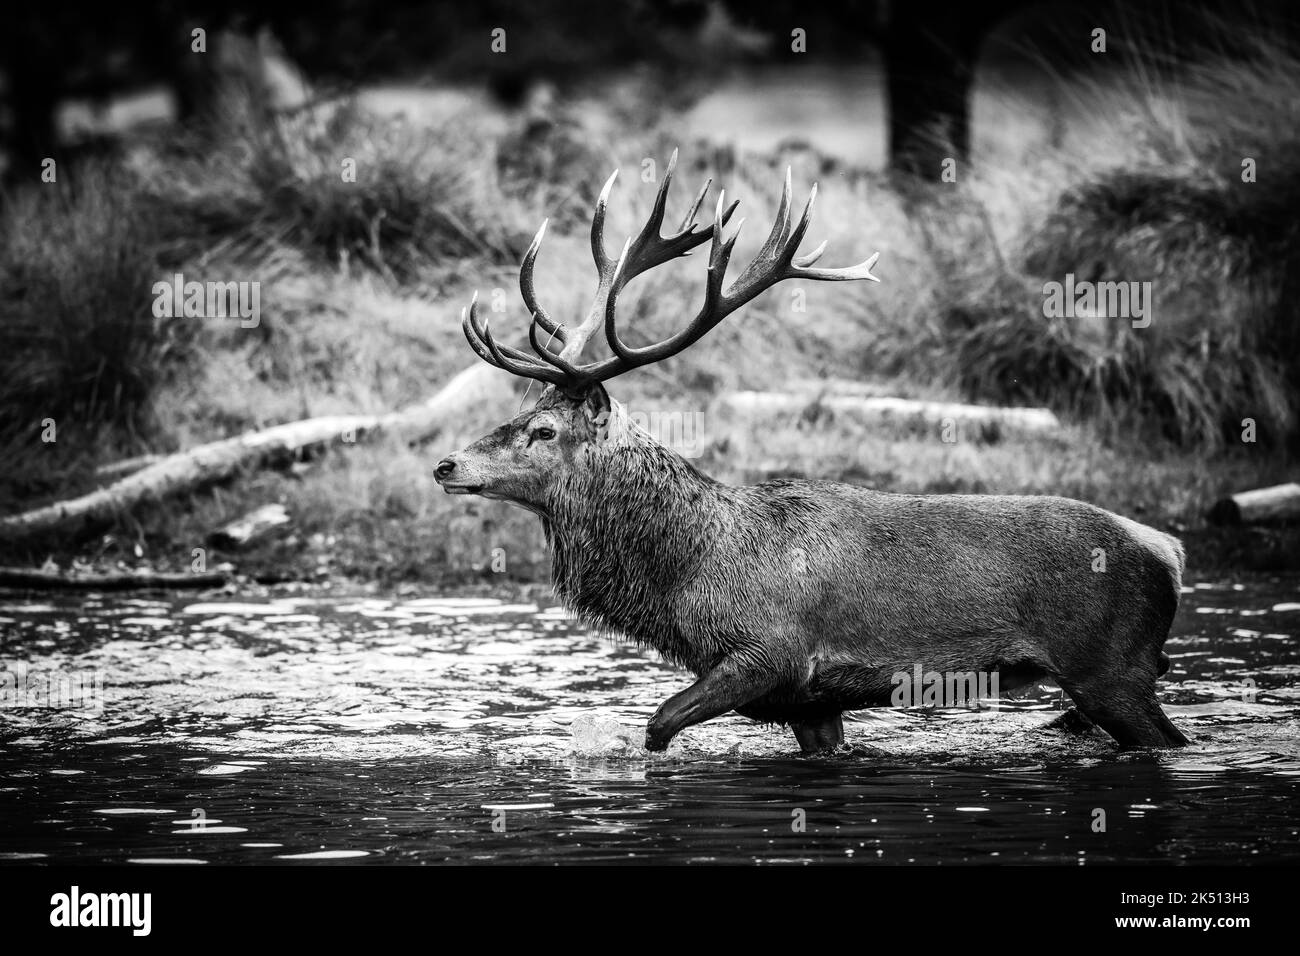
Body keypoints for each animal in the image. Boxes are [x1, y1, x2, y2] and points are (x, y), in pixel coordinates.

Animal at [434, 151, 1189, 755]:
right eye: (518, 412)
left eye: (544, 432)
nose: (446, 465)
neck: (687, 577)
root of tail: (1167, 548)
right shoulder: (811, 702)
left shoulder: (771, 653)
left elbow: (657, 724)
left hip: (1110, 666)